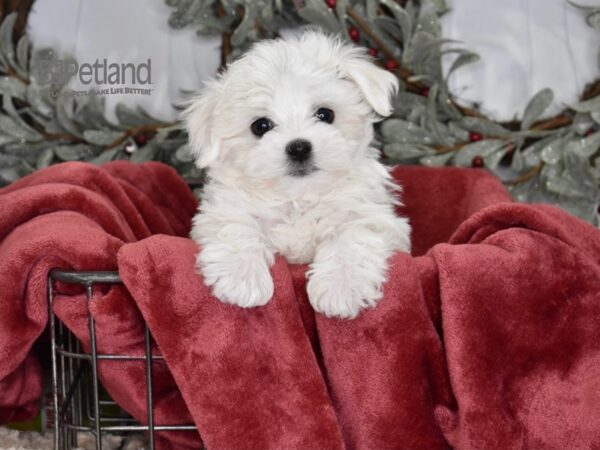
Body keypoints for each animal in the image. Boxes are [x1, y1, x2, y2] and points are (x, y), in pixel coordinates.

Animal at [186, 29, 412, 318]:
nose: (299, 147)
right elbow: (236, 228)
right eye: (260, 126)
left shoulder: (374, 218)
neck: (299, 197)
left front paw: (341, 287)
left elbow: (351, 237)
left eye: (325, 114)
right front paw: (242, 278)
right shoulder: (223, 211)